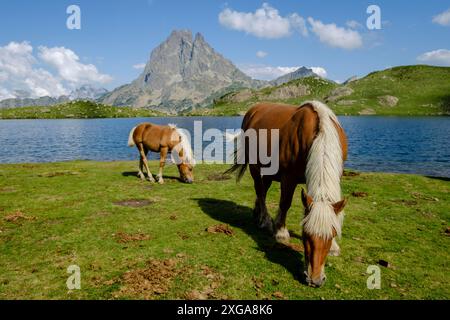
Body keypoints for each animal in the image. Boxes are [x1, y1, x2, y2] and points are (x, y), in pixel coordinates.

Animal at [229, 101, 348, 286]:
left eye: (332, 235)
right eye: (305, 234)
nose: (315, 280)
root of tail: (253, 110)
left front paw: (334, 246)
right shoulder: (288, 177)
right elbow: (285, 203)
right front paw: (281, 232)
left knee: (263, 190)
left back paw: (258, 214)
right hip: (255, 167)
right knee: (260, 191)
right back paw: (264, 220)